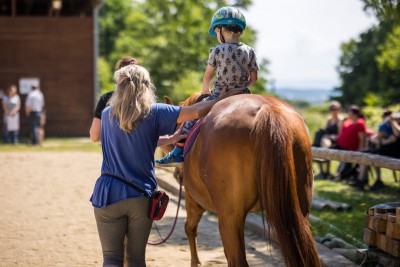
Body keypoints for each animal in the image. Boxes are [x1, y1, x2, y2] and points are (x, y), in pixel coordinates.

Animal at [170, 92, 320, 267]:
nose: (177, 173)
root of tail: (268, 110)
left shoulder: (193, 200)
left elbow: (190, 228)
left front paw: (196, 262)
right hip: (300, 211)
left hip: (229, 217)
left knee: (236, 260)